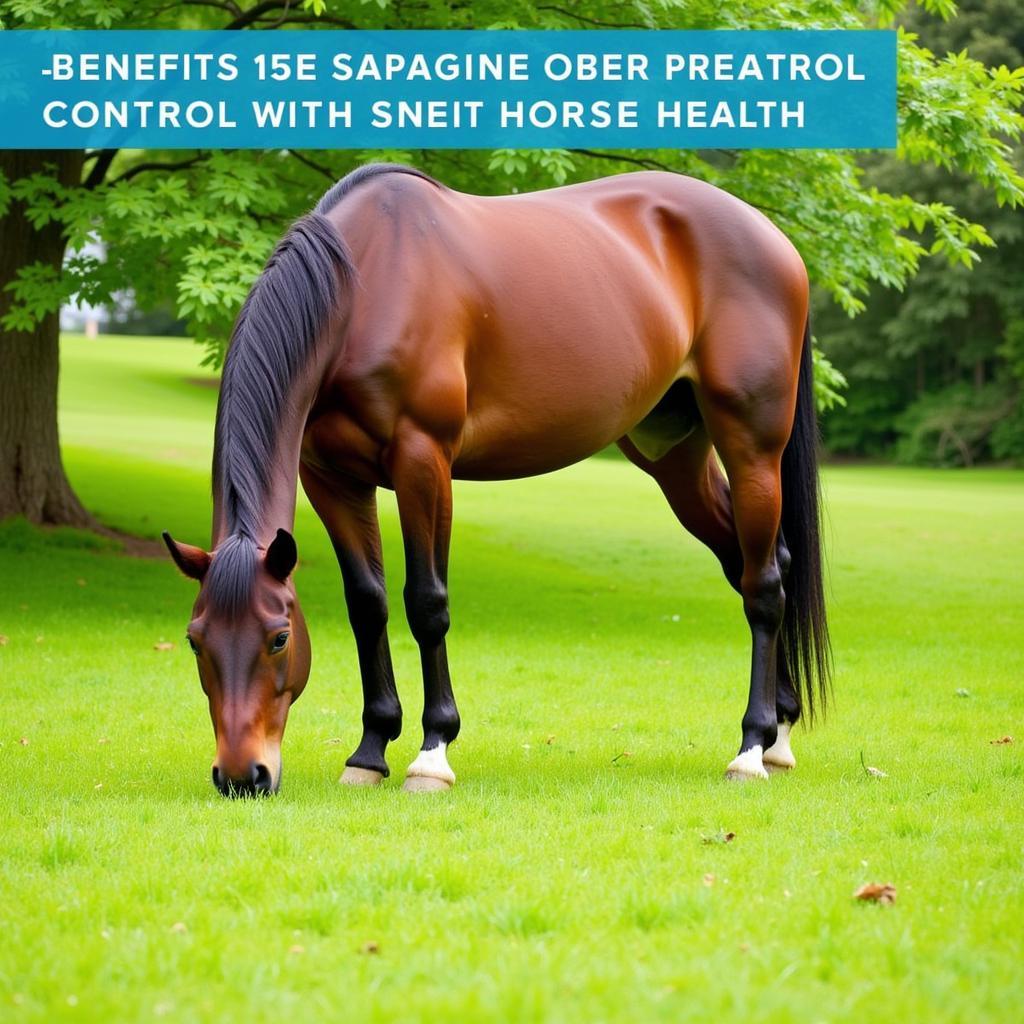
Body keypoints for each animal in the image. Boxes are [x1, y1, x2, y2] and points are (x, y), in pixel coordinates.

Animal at [163, 161, 827, 798]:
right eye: (195, 640)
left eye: (279, 638)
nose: (242, 776)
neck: (363, 286)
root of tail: (773, 238)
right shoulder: (332, 478)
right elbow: (367, 604)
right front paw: (370, 752)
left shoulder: (423, 461)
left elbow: (426, 602)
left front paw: (431, 754)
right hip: (674, 456)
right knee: (754, 563)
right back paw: (779, 732)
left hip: (751, 447)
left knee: (764, 585)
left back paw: (750, 748)